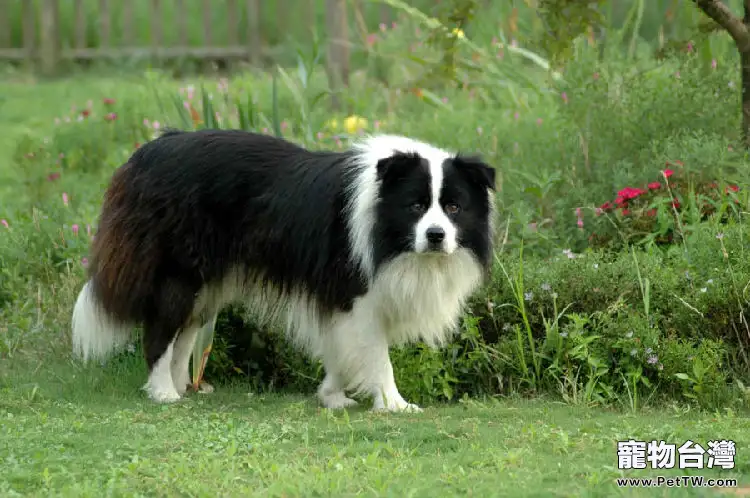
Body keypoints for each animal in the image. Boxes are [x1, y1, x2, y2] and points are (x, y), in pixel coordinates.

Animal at [69, 129, 494, 412]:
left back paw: (184, 386)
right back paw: (163, 392)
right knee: (161, 328)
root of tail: (144, 154)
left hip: (208, 282)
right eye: (416, 206)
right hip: (179, 269)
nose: (436, 236)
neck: (387, 230)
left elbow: (340, 348)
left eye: (454, 207)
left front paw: (332, 396)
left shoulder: (338, 297)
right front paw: (395, 404)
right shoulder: (356, 291)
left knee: (186, 331)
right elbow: (376, 354)